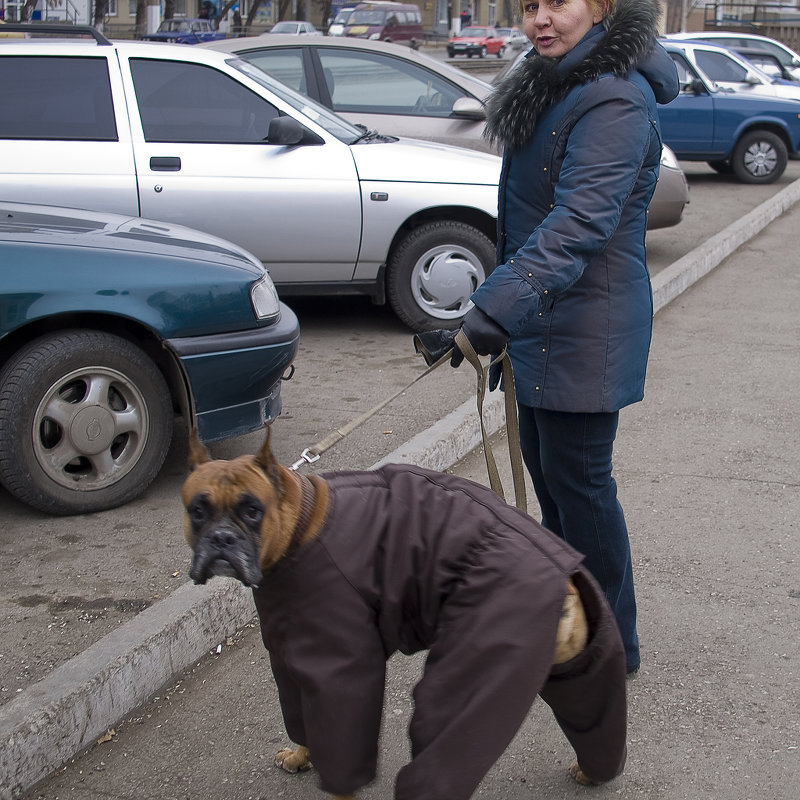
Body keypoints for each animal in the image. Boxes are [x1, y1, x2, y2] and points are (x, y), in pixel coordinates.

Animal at [184, 428, 628, 796]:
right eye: (197, 511)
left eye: (252, 510)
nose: (222, 538)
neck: (300, 521)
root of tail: (560, 579)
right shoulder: (288, 661)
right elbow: (302, 722)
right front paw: (299, 757)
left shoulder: (337, 674)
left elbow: (339, 740)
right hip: (579, 664)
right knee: (593, 711)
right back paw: (594, 771)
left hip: (477, 667)